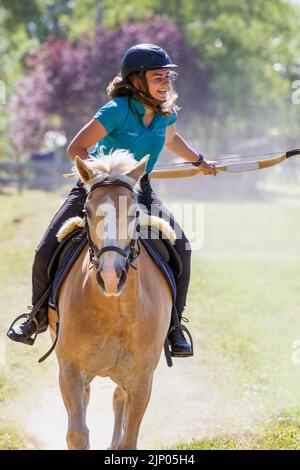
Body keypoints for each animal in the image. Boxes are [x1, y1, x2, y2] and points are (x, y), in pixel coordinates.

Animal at [47, 152, 172, 450]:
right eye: (87, 212)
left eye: (134, 212)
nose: (111, 276)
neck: (115, 313)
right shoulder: (70, 371)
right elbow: (77, 434)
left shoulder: (141, 381)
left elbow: (129, 440)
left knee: (118, 399)